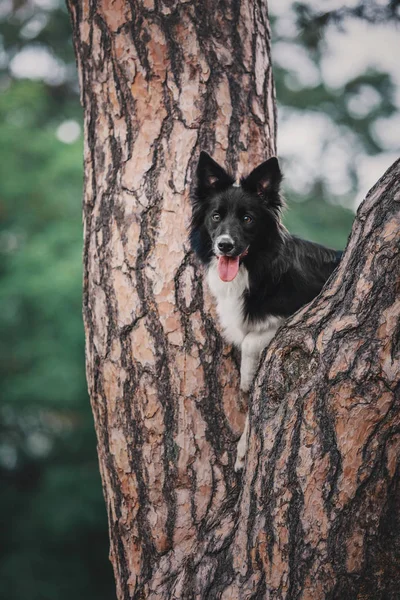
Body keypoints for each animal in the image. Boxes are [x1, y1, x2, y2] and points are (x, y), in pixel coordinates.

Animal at [190, 150, 340, 468]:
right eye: (216, 216)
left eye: (247, 219)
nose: (225, 246)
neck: (255, 269)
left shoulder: (301, 306)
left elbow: (253, 338)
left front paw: (246, 377)